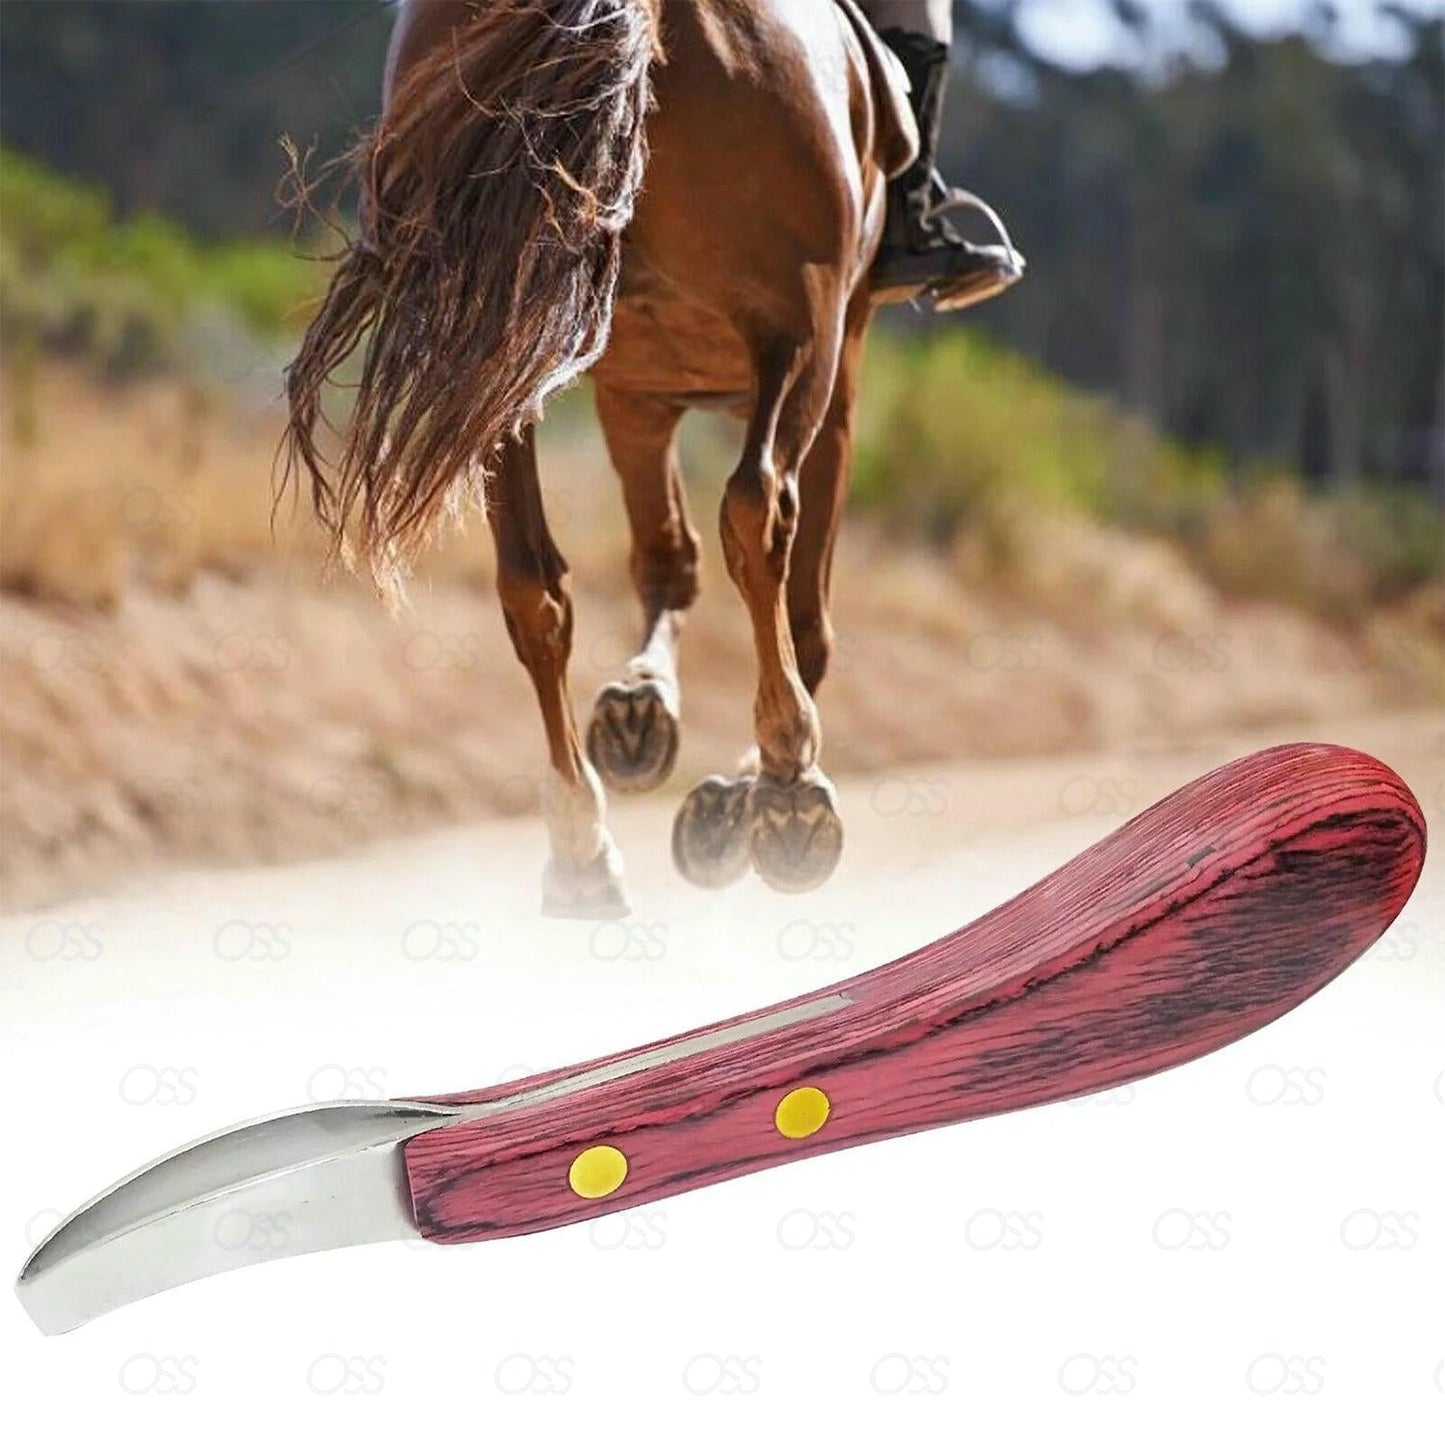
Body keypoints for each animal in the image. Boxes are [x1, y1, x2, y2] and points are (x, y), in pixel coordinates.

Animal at [283, 0, 998, 918]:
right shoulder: (832, 366)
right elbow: (792, 600)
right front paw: (745, 786)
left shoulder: (633, 394)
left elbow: (661, 559)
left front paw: (643, 708)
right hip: (802, 338)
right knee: (759, 515)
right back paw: (785, 781)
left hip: (504, 350)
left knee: (537, 585)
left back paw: (589, 840)